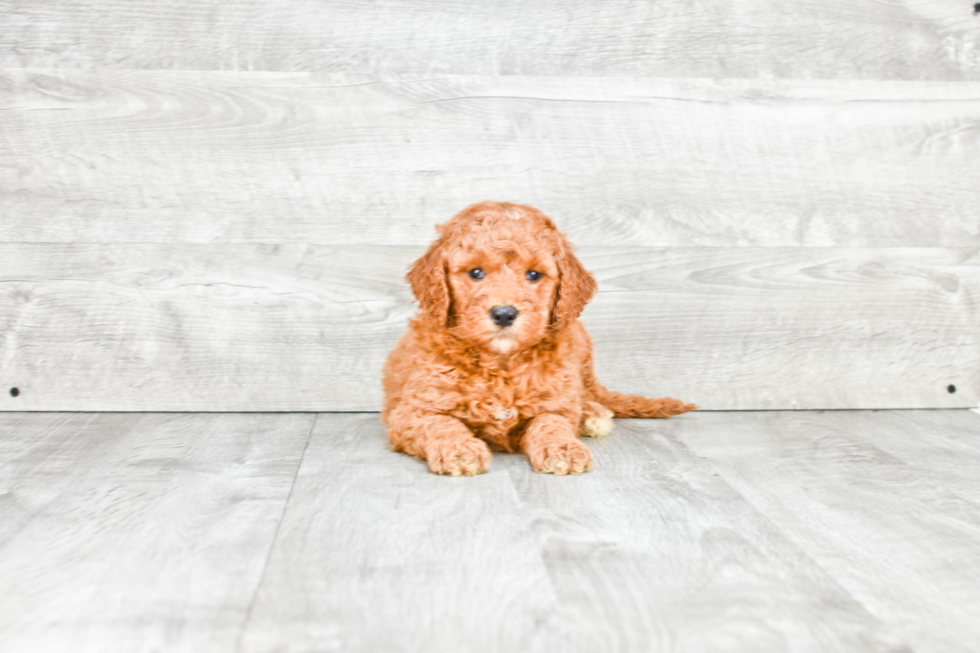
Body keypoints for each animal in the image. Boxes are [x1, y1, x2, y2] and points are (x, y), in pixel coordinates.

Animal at [382, 199, 696, 474]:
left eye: (533, 275)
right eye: (476, 272)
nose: (504, 314)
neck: (501, 364)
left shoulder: (554, 401)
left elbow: (551, 422)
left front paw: (562, 449)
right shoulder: (412, 411)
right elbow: (439, 425)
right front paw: (459, 450)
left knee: (587, 396)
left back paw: (592, 416)